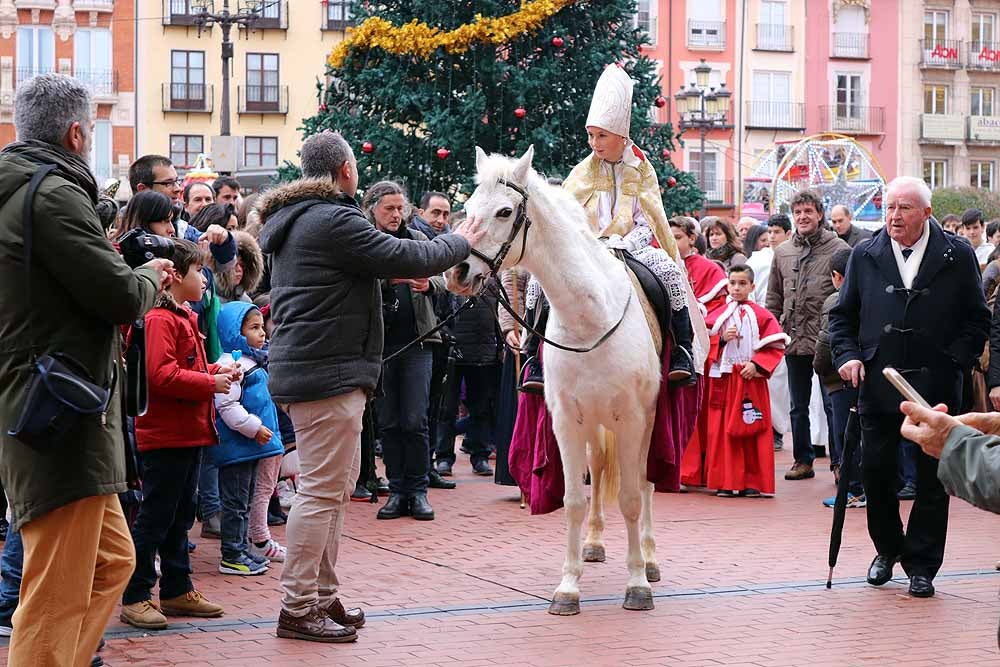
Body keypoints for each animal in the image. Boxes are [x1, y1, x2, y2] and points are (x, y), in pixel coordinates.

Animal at [446, 147, 664, 616]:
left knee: (646, 482)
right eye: (467, 208)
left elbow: (632, 497)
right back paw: (595, 543)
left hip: (650, 419)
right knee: (599, 470)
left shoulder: (632, 419)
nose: (457, 272)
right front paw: (568, 587)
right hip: (596, 424)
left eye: (505, 211)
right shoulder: (567, 419)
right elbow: (574, 500)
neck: (591, 319)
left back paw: (651, 559)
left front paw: (638, 583)